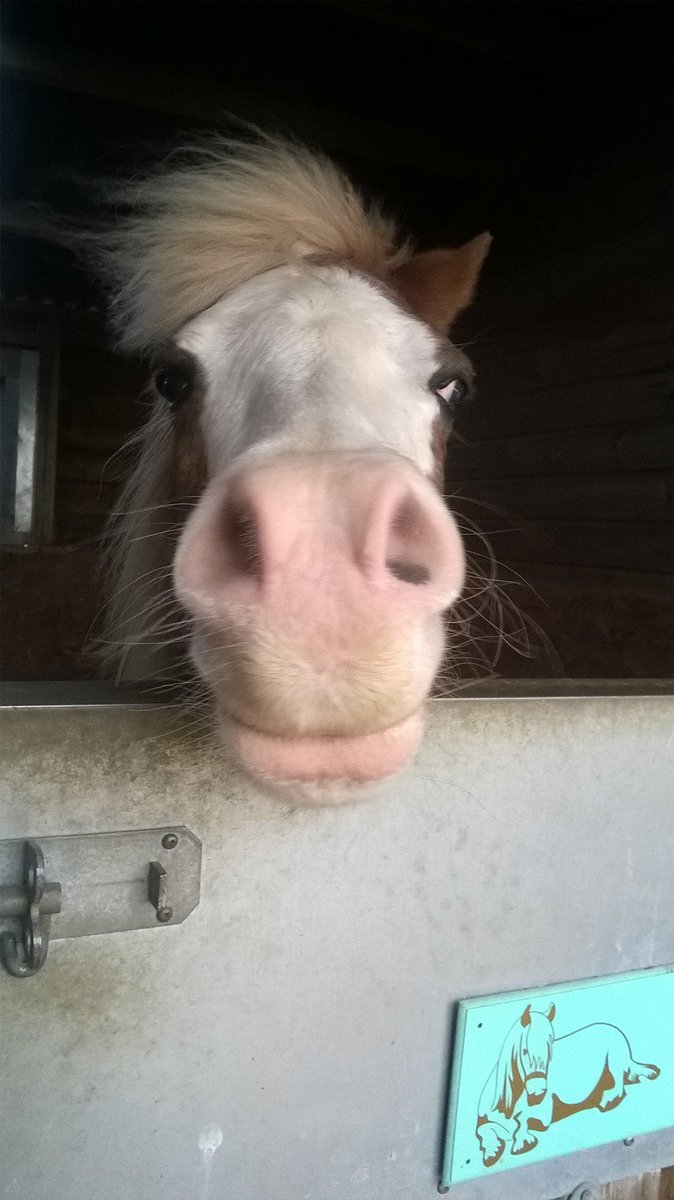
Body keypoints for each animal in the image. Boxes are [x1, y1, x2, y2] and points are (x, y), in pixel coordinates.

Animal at [475, 1002, 660, 1167]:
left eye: (550, 1050)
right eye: (524, 1051)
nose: (538, 1090)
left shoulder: (544, 1115)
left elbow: (522, 1119)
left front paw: (522, 1142)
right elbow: (484, 1129)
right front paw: (492, 1152)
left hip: (615, 1058)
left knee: (619, 1082)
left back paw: (607, 1099)